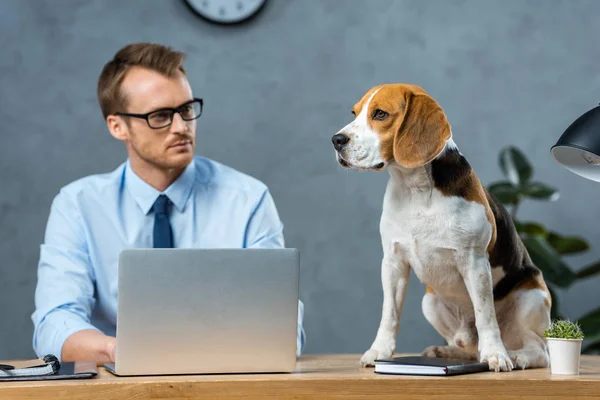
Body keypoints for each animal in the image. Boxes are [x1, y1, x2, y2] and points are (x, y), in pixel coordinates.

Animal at [330, 84, 552, 372]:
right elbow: (389, 313)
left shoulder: (474, 262)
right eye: (354, 113)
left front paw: (495, 355)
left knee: (539, 350)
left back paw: (516, 356)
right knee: (469, 349)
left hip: (531, 298)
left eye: (380, 114)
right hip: (430, 302)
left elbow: (485, 314)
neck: (416, 189)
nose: (336, 140)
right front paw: (379, 351)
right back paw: (445, 352)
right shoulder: (392, 262)